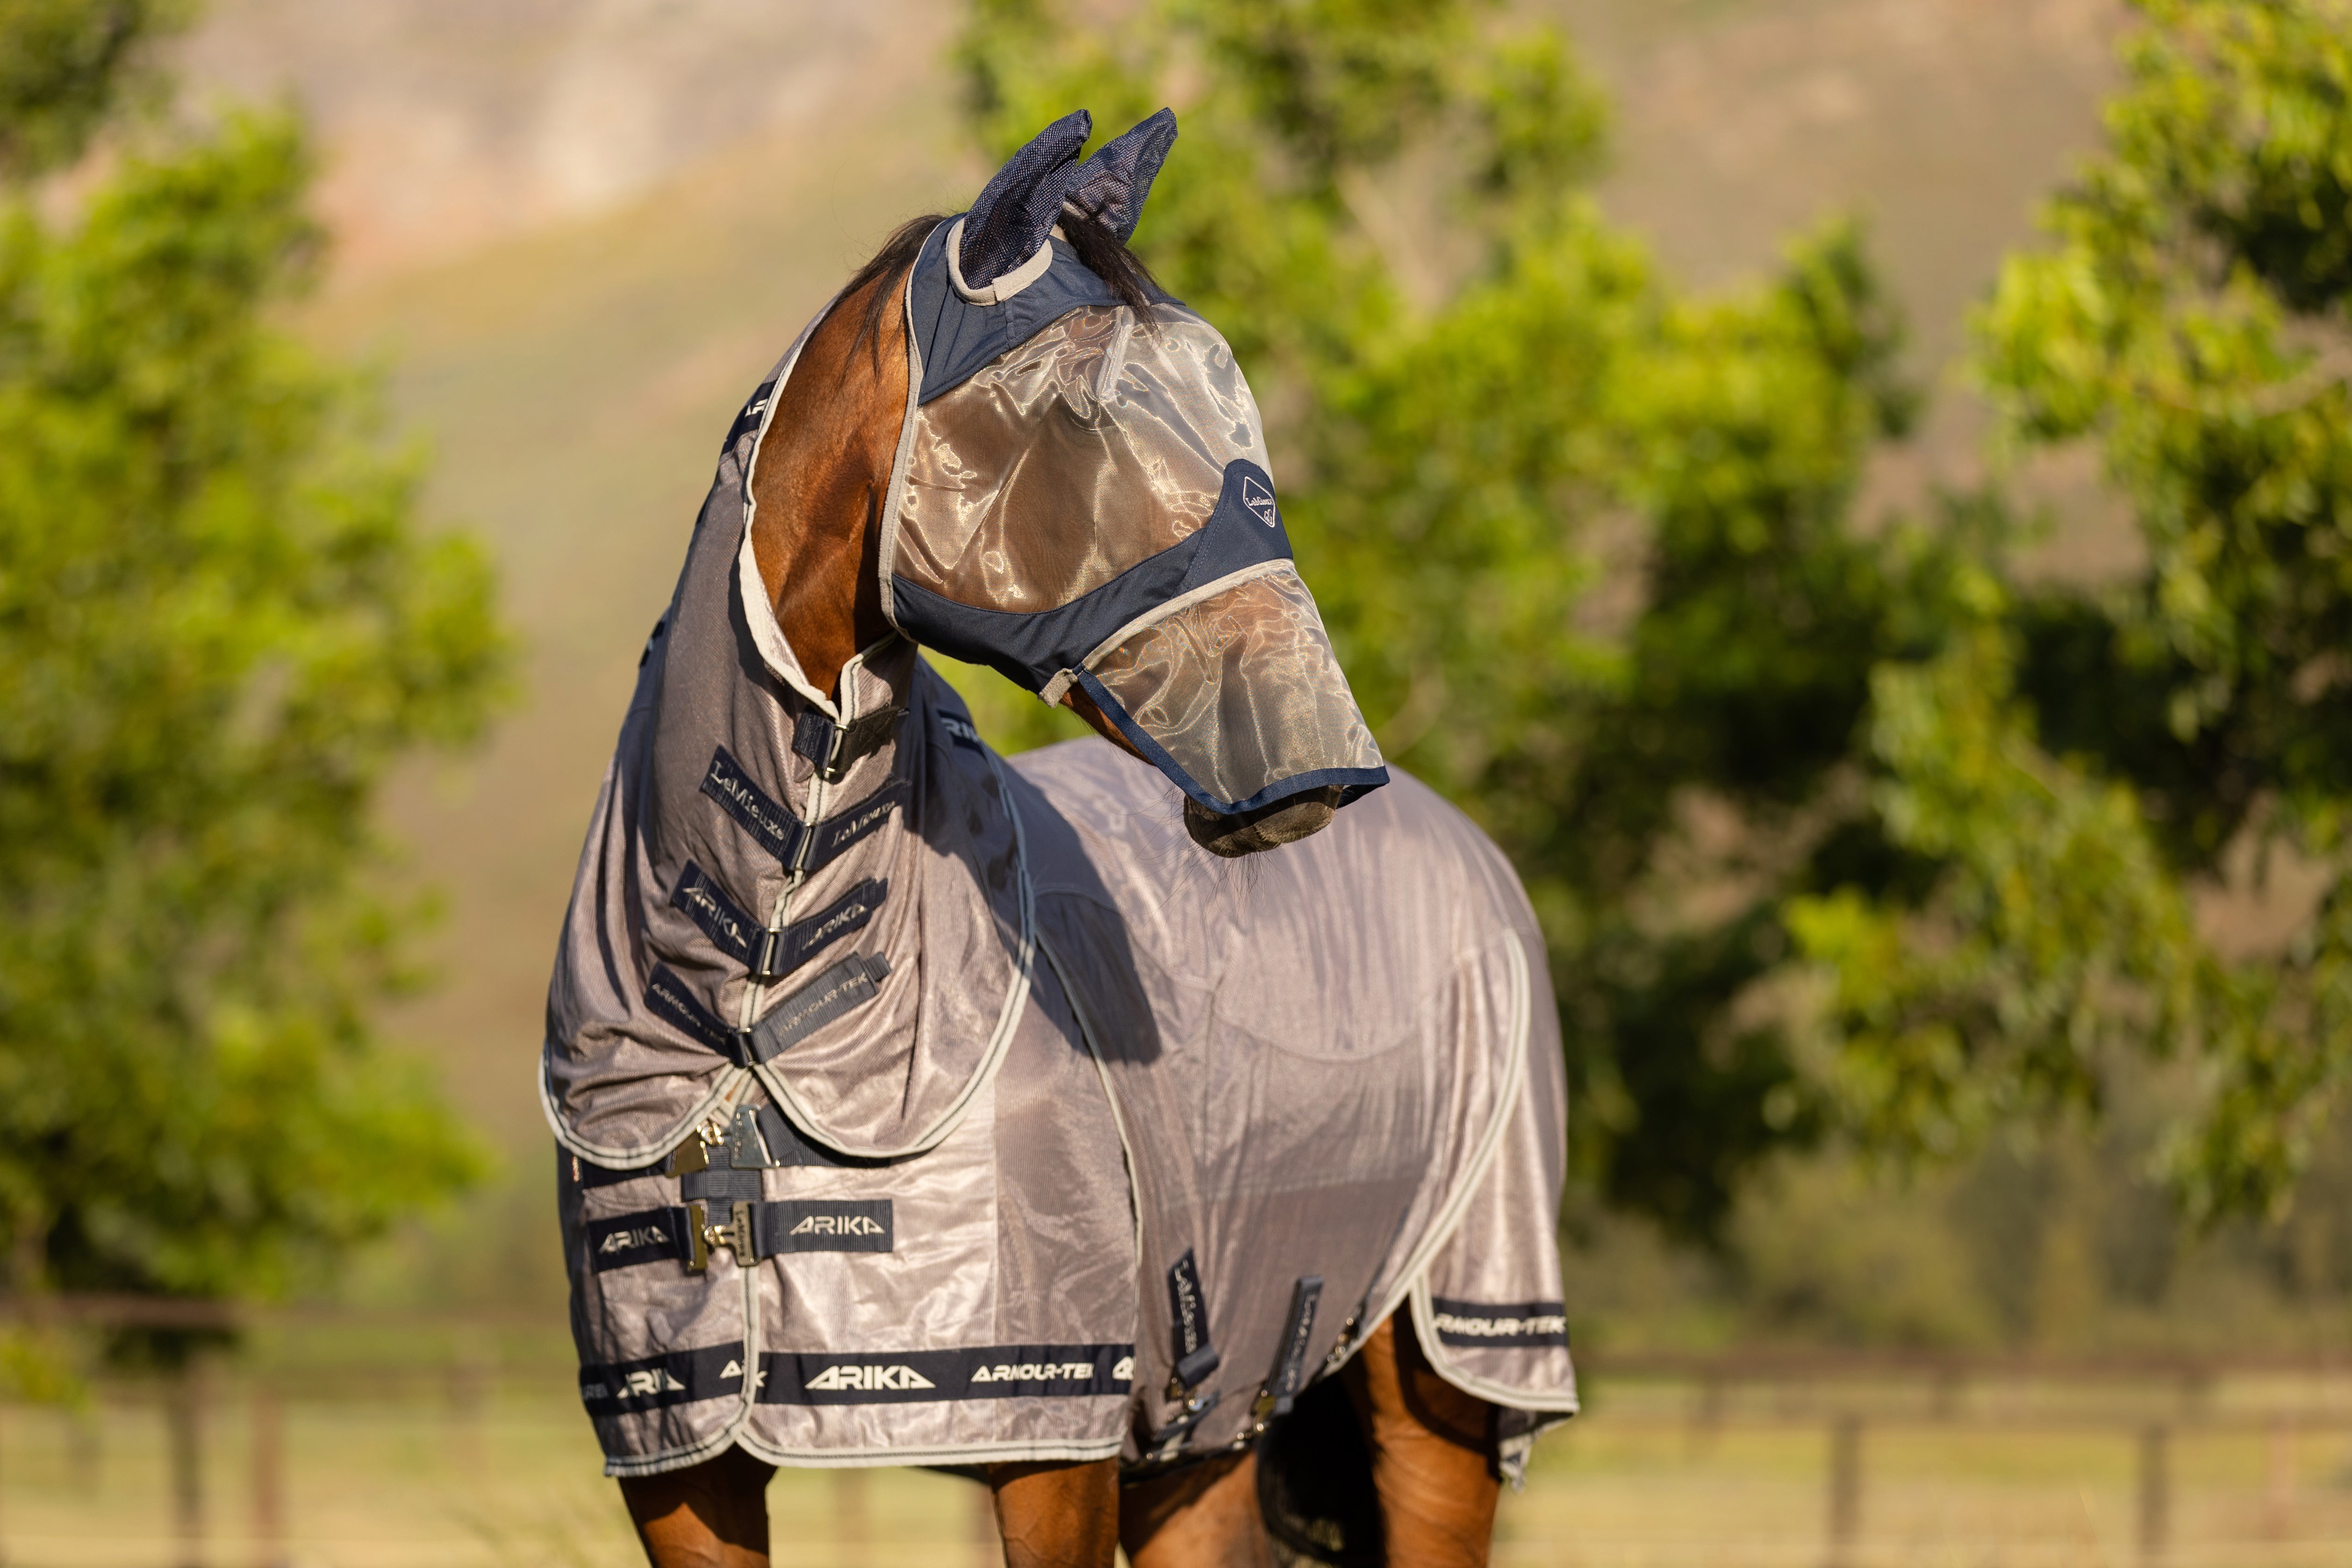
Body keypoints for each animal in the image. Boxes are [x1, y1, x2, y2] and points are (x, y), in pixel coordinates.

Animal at [541, 109, 1577, 1568]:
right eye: (1085, 410)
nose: (1319, 754)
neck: (757, 992)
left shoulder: (1050, 1431)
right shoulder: (679, 1457)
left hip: (1454, 1376)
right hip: (1205, 1421)